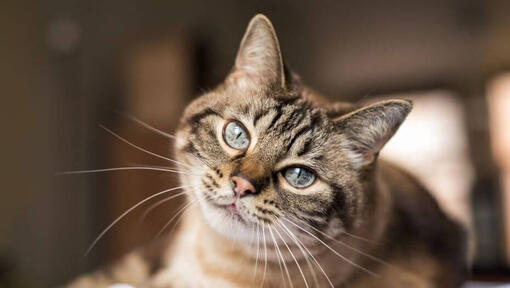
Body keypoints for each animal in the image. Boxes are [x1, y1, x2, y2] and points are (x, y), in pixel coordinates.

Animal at [67, 14, 466, 288]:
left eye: (299, 176)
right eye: (237, 135)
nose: (242, 185)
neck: (210, 259)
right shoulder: (147, 259)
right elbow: (93, 280)